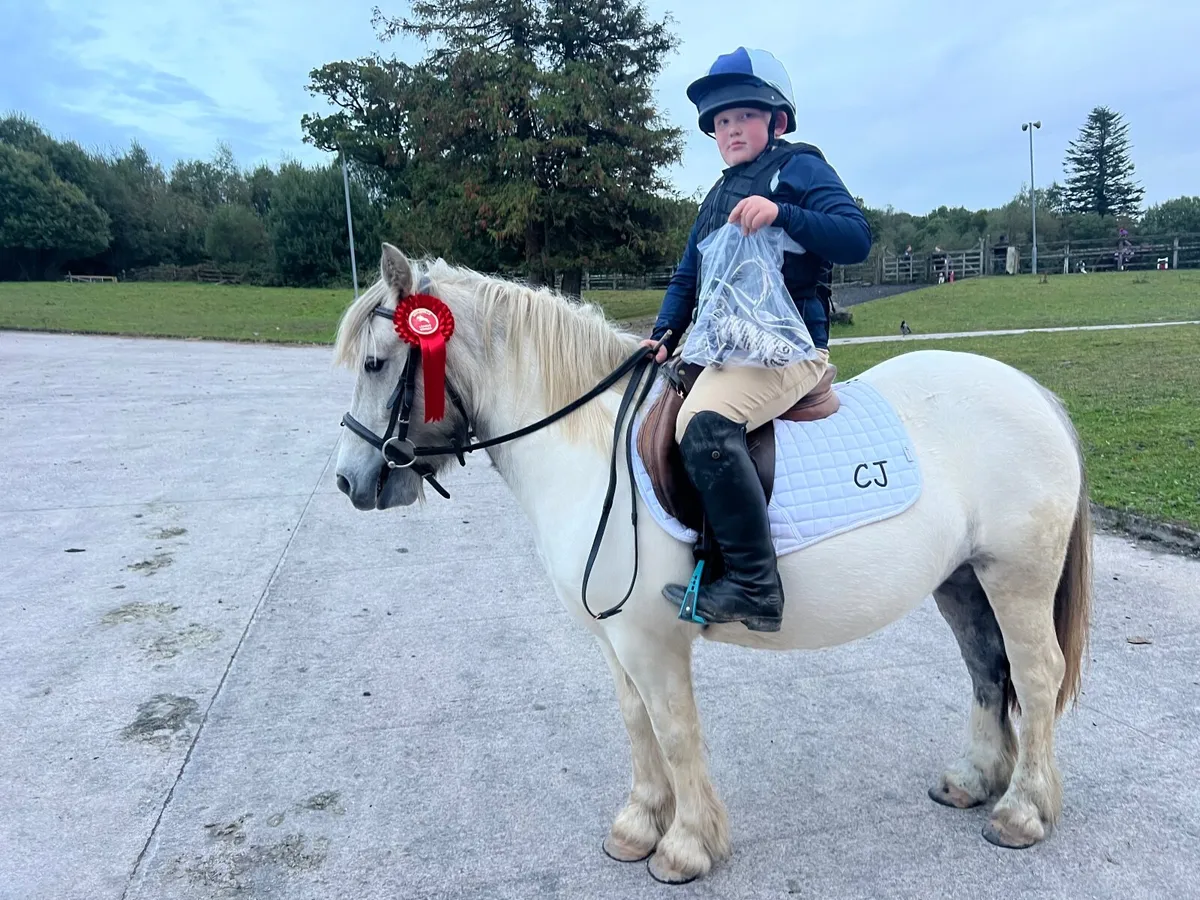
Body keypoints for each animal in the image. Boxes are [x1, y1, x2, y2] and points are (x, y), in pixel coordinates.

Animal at [332, 243, 1092, 884]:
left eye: (375, 364)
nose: (348, 480)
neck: (590, 450)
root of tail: (1032, 393)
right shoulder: (615, 641)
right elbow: (637, 724)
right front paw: (638, 826)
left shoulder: (651, 640)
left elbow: (674, 731)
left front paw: (686, 845)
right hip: (961, 580)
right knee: (987, 668)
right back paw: (975, 780)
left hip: (1015, 578)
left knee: (1035, 674)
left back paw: (1023, 811)